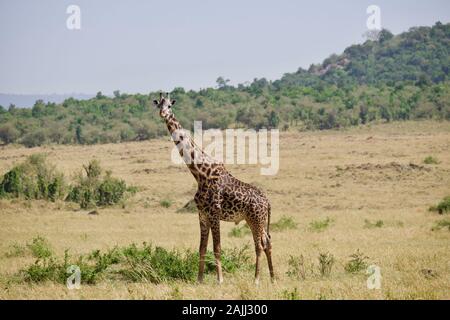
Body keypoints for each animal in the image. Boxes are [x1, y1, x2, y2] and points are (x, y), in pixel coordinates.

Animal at [154, 92, 274, 282]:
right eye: (158, 104)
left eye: (170, 106)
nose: (163, 114)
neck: (200, 174)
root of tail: (267, 203)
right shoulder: (202, 215)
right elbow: (201, 248)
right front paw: (199, 279)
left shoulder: (215, 213)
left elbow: (217, 248)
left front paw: (220, 280)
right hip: (255, 220)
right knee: (267, 242)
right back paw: (272, 278)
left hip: (256, 219)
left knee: (259, 245)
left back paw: (256, 280)